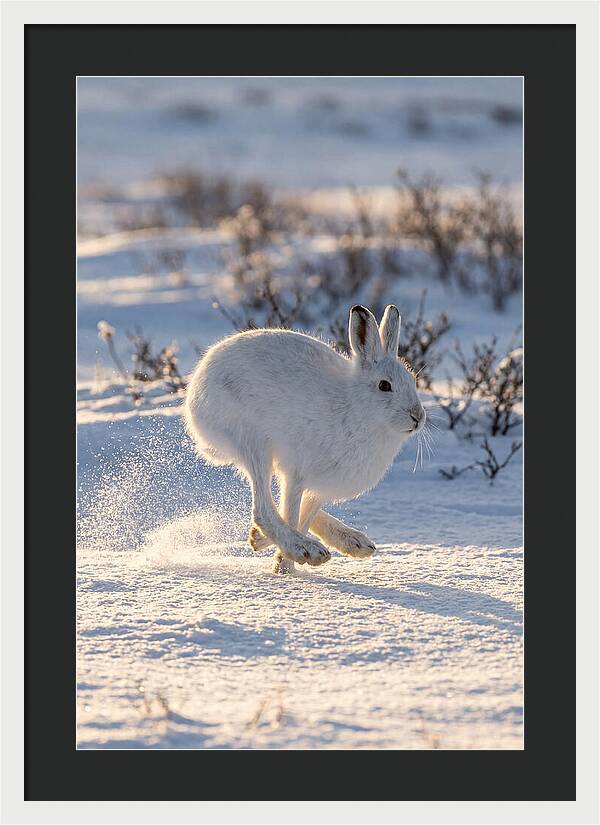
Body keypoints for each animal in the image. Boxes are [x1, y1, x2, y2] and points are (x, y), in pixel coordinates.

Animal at [184, 304, 425, 573]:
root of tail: (195, 390)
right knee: (263, 509)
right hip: (253, 442)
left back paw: (352, 542)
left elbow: (304, 515)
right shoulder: (298, 473)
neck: (355, 407)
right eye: (384, 385)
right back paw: (304, 548)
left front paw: (278, 558)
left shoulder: (320, 486)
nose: (418, 416)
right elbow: (291, 513)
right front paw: (287, 567)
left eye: (413, 381)